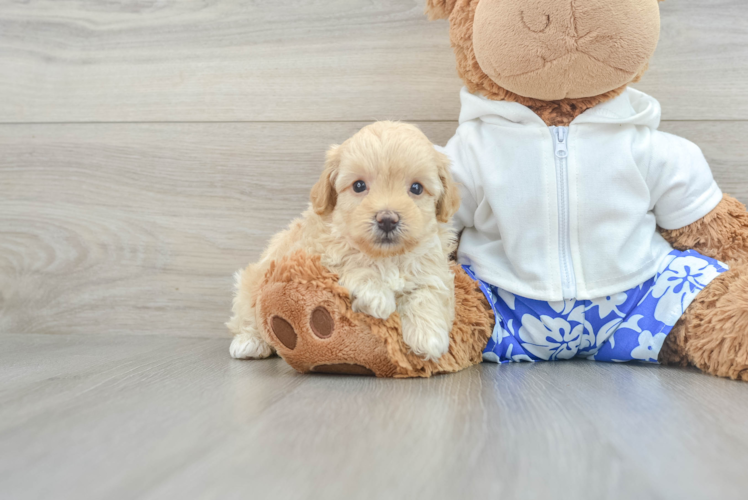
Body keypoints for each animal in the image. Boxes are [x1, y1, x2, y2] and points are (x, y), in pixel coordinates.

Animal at [228, 122, 462, 364]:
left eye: (416, 188)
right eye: (359, 185)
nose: (387, 219)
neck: (386, 257)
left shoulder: (433, 269)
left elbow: (429, 293)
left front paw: (428, 337)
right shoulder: (317, 254)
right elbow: (352, 261)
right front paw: (376, 295)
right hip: (253, 282)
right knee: (247, 315)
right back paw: (249, 342)